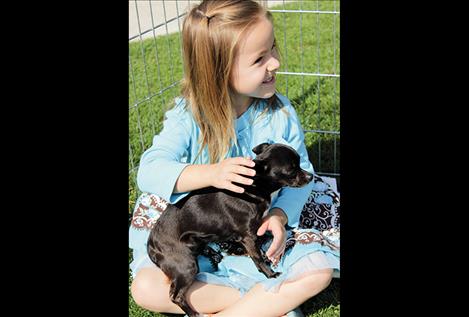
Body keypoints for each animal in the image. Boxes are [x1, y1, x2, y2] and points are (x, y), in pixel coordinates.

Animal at [147, 143, 310, 316]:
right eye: (291, 170)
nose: (311, 176)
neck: (254, 186)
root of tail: (151, 246)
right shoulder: (248, 237)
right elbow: (257, 257)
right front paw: (270, 274)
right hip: (186, 266)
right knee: (175, 295)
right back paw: (193, 313)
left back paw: (212, 252)